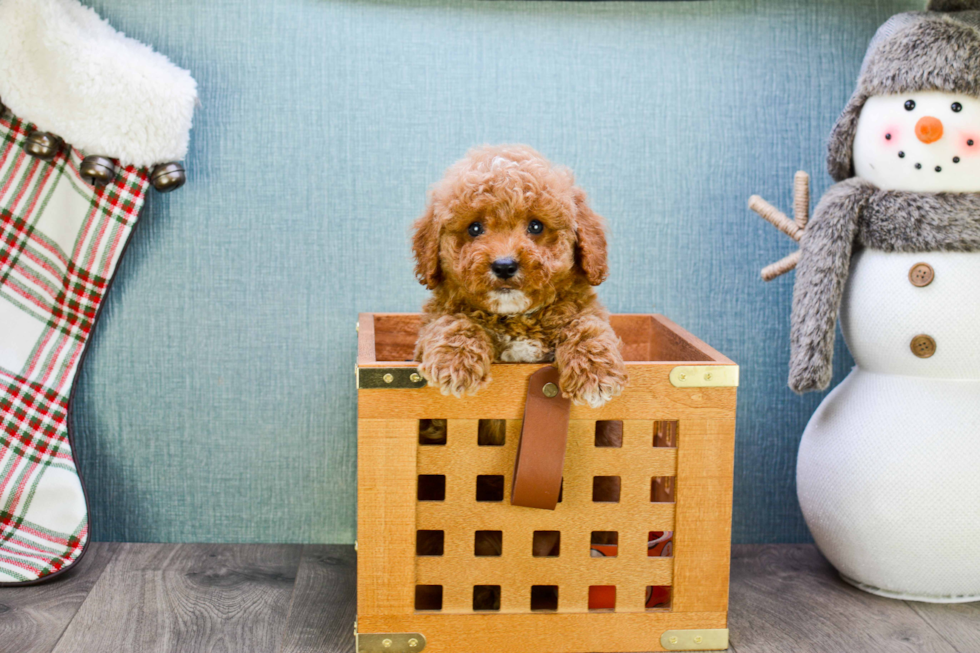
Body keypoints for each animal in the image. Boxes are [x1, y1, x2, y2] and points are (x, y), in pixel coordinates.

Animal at [412, 146, 628, 408]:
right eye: (474, 228)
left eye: (536, 226)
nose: (504, 266)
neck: (516, 317)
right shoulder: (434, 318)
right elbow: (451, 321)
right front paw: (455, 361)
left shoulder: (582, 308)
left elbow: (587, 324)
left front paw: (595, 370)